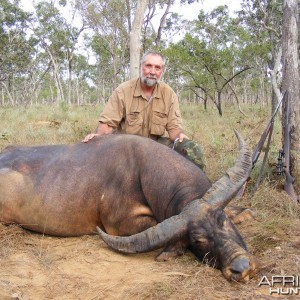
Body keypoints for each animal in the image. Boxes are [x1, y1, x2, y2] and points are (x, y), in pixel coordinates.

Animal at [0, 131, 258, 282]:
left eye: (223, 221)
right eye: (199, 240)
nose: (241, 267)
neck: (142, 167)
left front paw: (243, 213)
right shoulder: (119, 226)